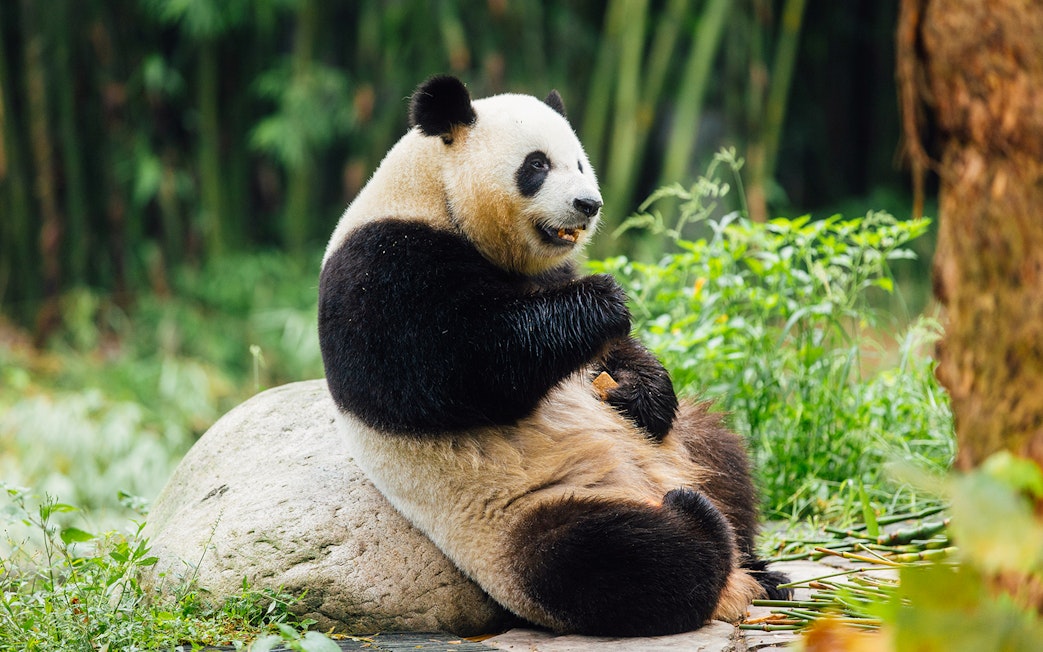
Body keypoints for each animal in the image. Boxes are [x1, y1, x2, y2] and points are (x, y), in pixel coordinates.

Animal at [318, 75, 788, 637]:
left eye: (581, 163)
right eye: (537, 165)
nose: (589, 204)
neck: (436, 196)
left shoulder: (549, 269)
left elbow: (614, 357)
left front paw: (642, 392)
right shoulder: (380, 268)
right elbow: (457, 369)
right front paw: (604, 301)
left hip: (682, 448)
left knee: (725, 457)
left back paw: (761, 568)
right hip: (517, 520)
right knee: (612, 560)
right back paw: (698, 525)